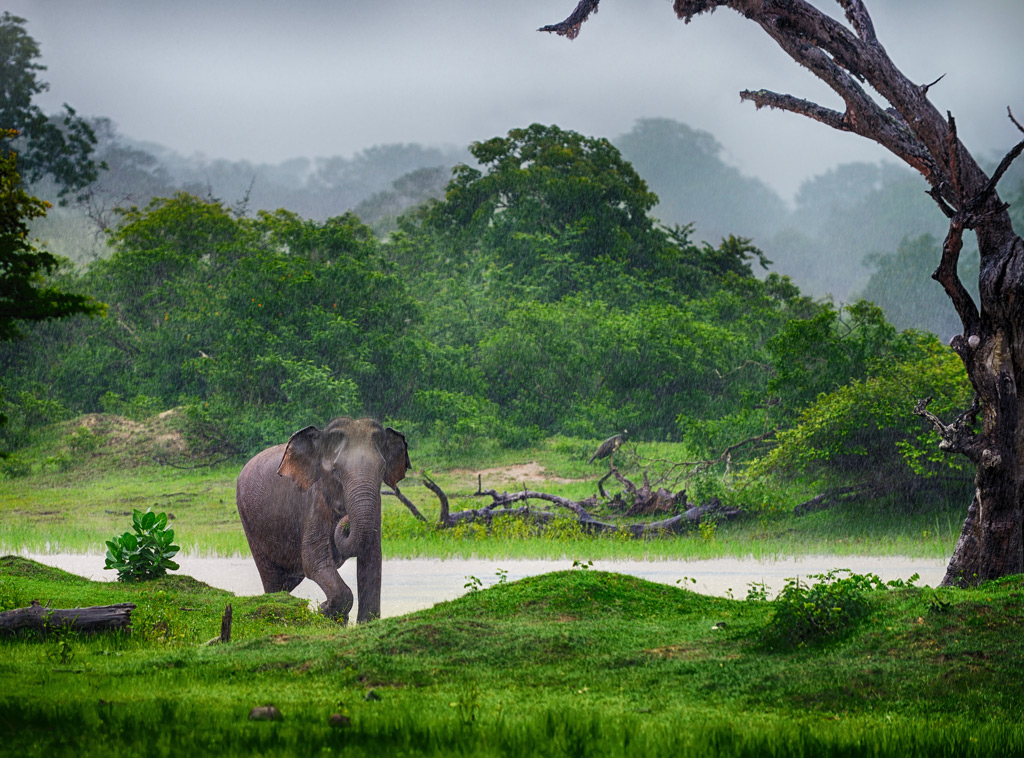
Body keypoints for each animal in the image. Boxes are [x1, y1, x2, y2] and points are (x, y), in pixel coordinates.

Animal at [234, 417, 407, 622]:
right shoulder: (314, 501)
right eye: (336, 471)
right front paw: (323, 610)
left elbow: (372, 560)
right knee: (272, 578)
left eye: (382, 469)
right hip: (249, 522)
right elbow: (313, 560)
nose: (346, 519)